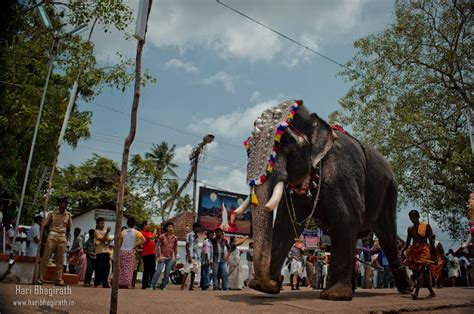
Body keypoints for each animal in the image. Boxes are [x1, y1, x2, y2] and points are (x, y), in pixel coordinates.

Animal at [235, 100, 412, 300]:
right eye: (248, 149)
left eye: (286, 141)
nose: (277, 281)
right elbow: (284, 225)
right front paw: (262, 287)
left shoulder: (343, 173)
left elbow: (348, 218)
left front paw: (335, 296)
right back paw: (354, 288)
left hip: (390, 192)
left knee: (387, 239)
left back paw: (407, 289)